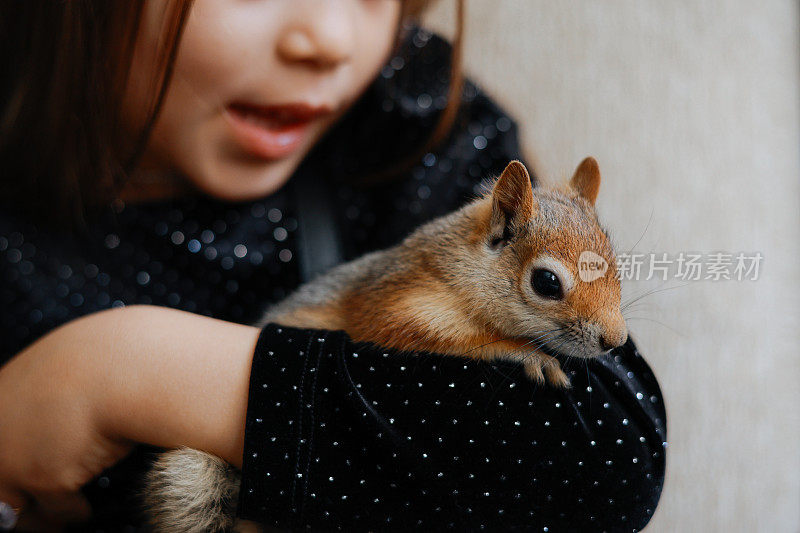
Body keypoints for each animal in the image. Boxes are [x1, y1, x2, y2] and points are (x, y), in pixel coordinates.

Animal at [144, 156, 632, 528]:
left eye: (617, 265)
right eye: (547, 282)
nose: (616, 341)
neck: (460, 264)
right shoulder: (396, 306)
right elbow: (448, 336)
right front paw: (526, 352)